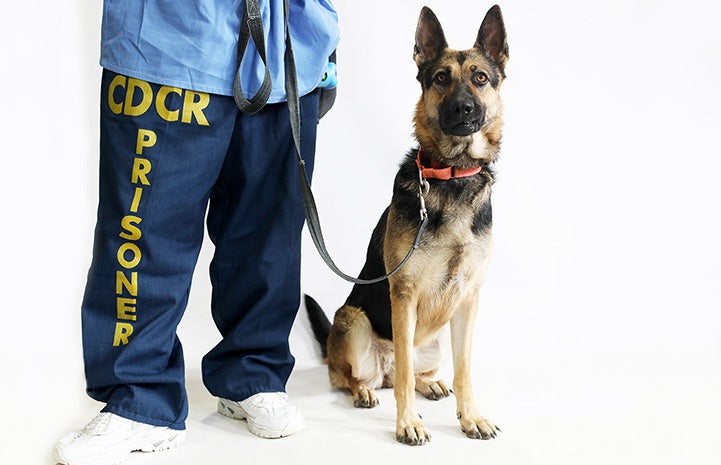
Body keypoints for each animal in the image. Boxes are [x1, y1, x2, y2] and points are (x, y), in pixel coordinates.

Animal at [304, 4, 506, 446]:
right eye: (441, 78)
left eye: (480, 78)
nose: (463, 109)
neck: (452, 175)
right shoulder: (404, 292)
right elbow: (401, 380)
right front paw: (408, 423)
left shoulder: (469, 298)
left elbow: (465, 371)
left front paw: (470, 417)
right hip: (353, 321)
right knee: (357, 375)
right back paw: (364, 391)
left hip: (435, 342)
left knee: (411, 371)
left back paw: (430, 383)